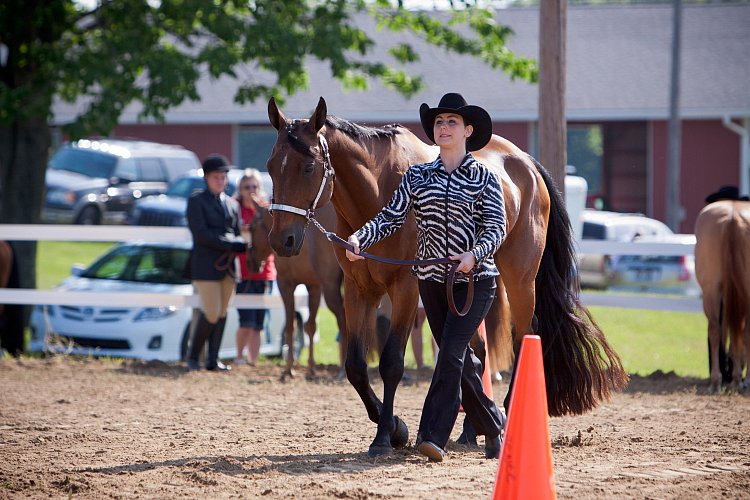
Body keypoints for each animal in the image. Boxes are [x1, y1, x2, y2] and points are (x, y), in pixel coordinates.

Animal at [250, 201, 350, 380]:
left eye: (252, 227)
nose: (250, 261)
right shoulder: (314, 287)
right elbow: (310, 326)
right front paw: (311, 368)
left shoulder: (285, 285)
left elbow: (290, 325)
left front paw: (288, 369)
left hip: (331, 289)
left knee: (342, 319)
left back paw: (341, 370)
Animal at [264, 97, 628, 458]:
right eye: (270, 166)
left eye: (308, 167)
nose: (282, 241)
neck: (378, 191)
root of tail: (527, 163)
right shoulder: (359, 290)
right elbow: (355, 367)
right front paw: (397, 428)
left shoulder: (405, 289)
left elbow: (391, 363)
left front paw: (385, 436)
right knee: (476, 352)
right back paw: (472, 430)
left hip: (520, 277)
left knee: (524, 335)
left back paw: (506, 416)